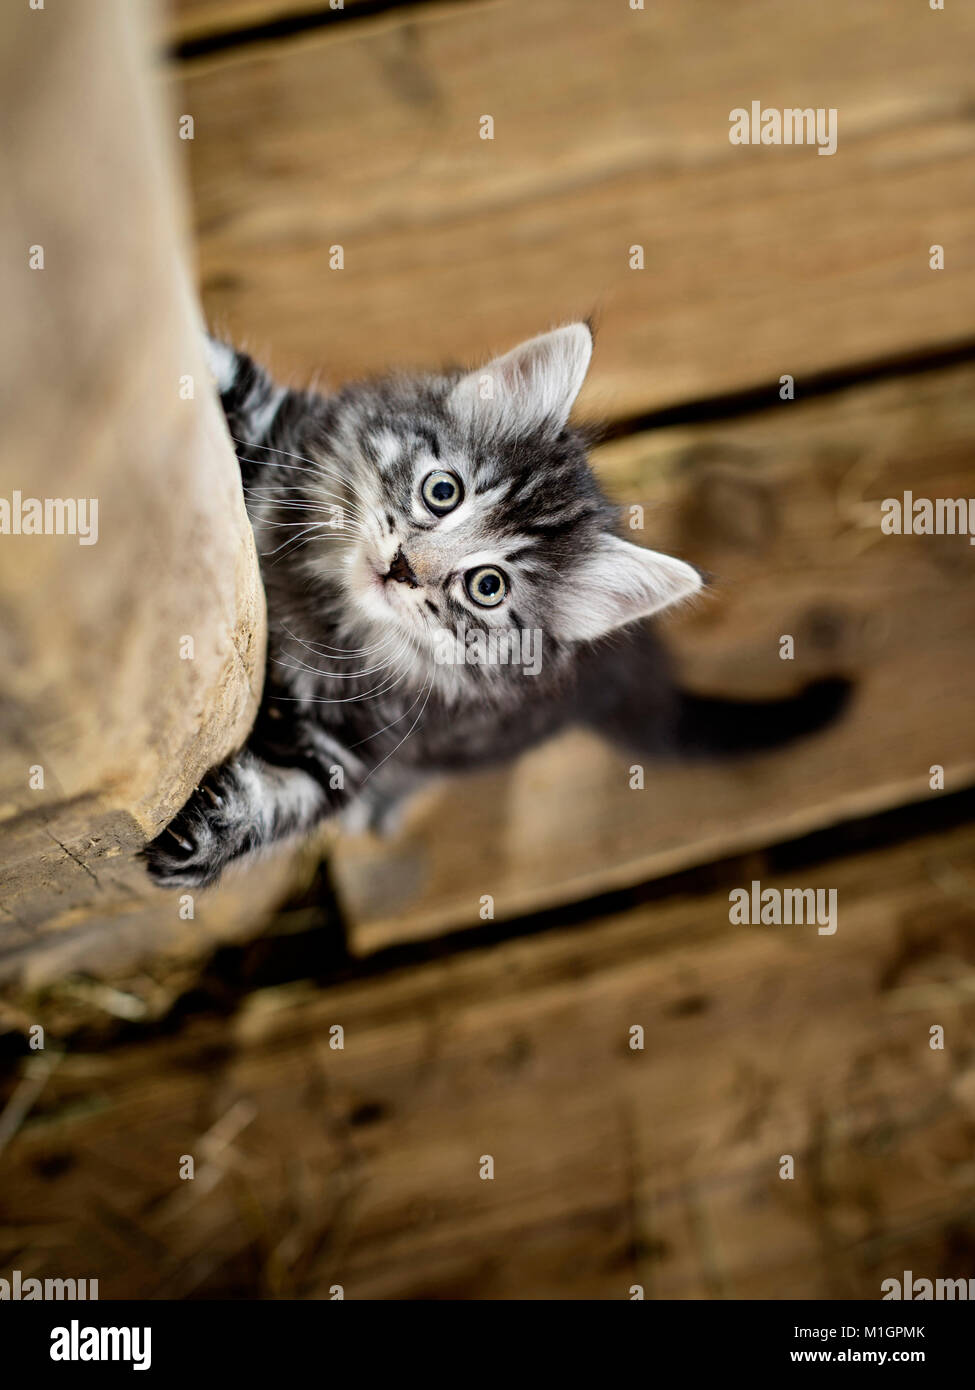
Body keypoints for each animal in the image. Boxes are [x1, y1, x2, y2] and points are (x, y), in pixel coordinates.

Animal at [142, 322, 845, 889]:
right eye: (443, 491)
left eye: (487, 587)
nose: (403, 567)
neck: (327, 605)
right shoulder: (282, 427)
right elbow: (221, 372)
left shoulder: (358, 743)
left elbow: (288, 796)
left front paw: (202, 839)